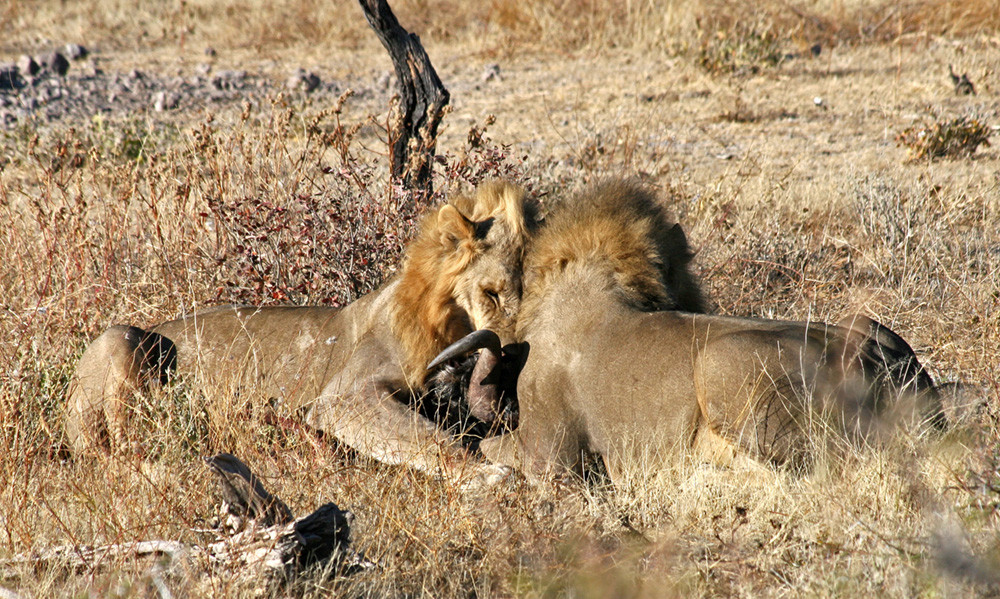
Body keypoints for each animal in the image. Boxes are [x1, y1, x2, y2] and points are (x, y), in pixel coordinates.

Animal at [65, 182, 536, 482]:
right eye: (491, 293)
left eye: (528, 295)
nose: (511, 354)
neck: (442, 324)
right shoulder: (343, 398)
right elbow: (433, 440)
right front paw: (488, 475)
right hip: (121, 339)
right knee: (120, 453)